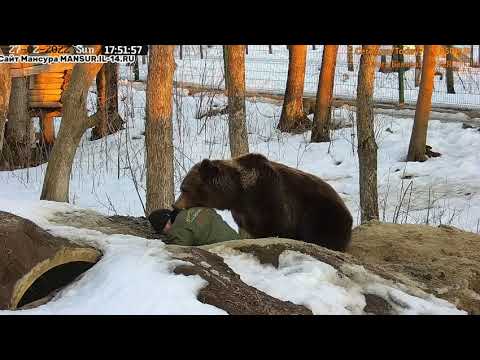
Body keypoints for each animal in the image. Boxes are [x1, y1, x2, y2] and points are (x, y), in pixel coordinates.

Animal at [172, 153, 352, 252]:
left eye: (184, 188)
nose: (175, 205)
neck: (239, 194)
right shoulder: (245, 214)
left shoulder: (271, 200)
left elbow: (276, 228)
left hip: (324, 217)